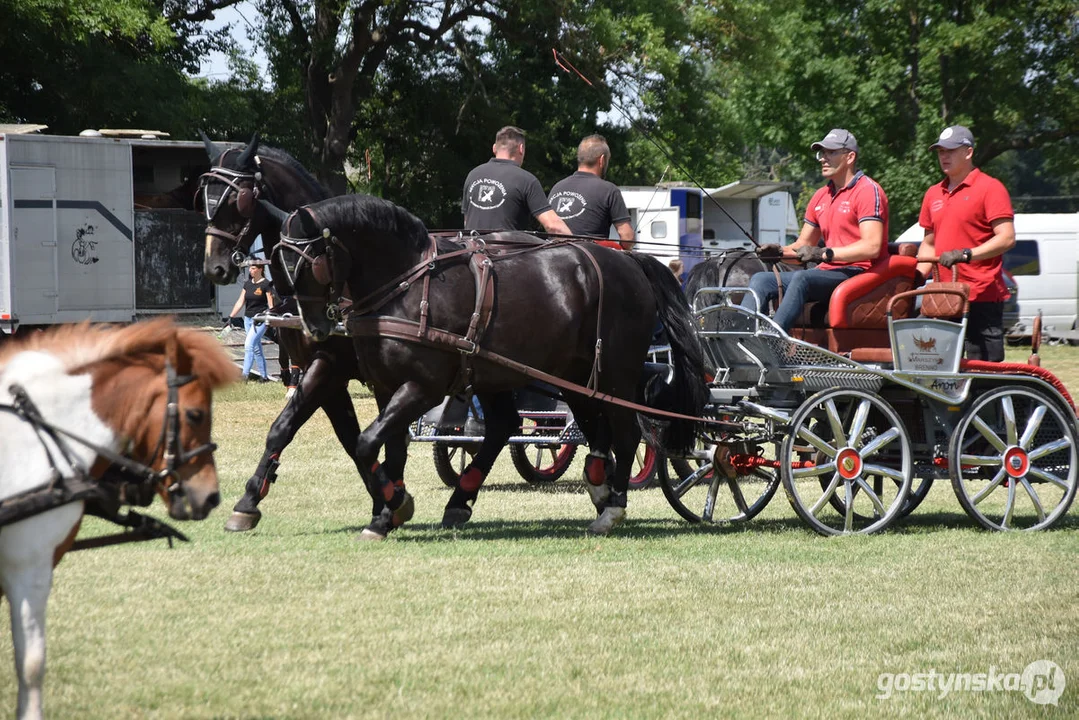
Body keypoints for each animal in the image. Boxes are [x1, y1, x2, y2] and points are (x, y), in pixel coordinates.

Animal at [267, 194, 707, 537]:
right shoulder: (387, 386)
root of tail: (632, 263)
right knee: (582, 427)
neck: (407, 285)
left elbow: (364, 443)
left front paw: (394, 505)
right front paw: (387, 511)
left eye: (307, 265)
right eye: (278, 267)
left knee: (628, 432)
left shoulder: (421, 387)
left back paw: (612, 506)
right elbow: (385, 447)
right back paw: (592, 487)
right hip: (573, 374)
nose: (313, 327)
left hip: (615, 373)